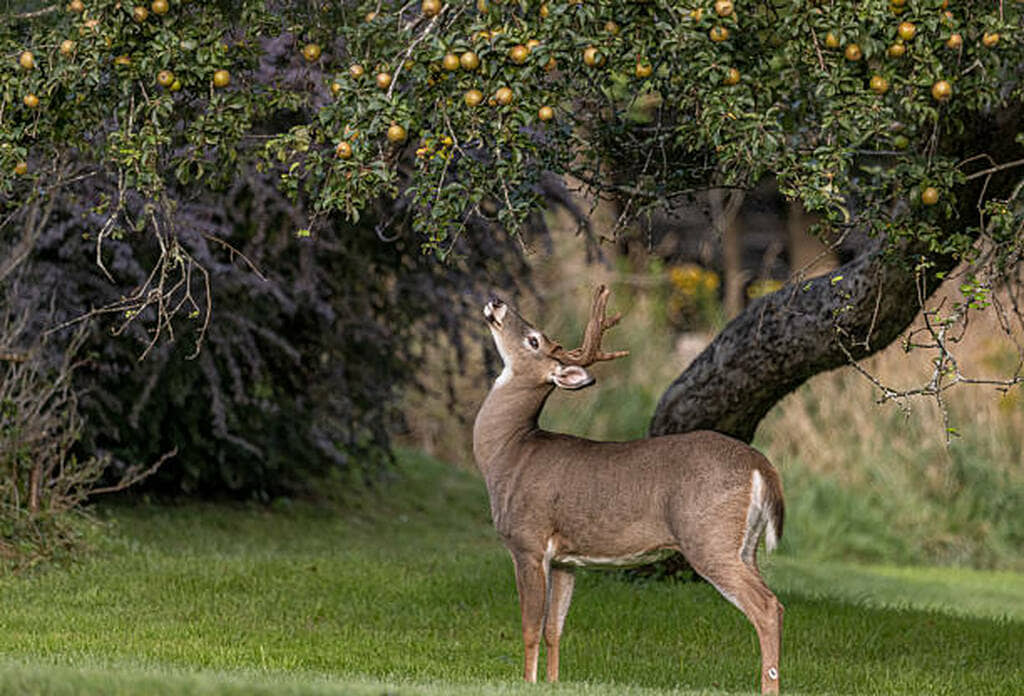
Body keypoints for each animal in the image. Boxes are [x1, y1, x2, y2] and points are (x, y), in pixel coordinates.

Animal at [473, 285, 786, 694]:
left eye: (534, 339)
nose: (496, 301)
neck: (506, 453)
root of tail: (760, 464)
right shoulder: (565, 560)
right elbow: (554, 630)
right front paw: (553, 681)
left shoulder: (528, 542)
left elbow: (529, 628)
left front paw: (527, 681)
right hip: (744, 545)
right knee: (775, 602)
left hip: (708, 537)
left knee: (766, 606)